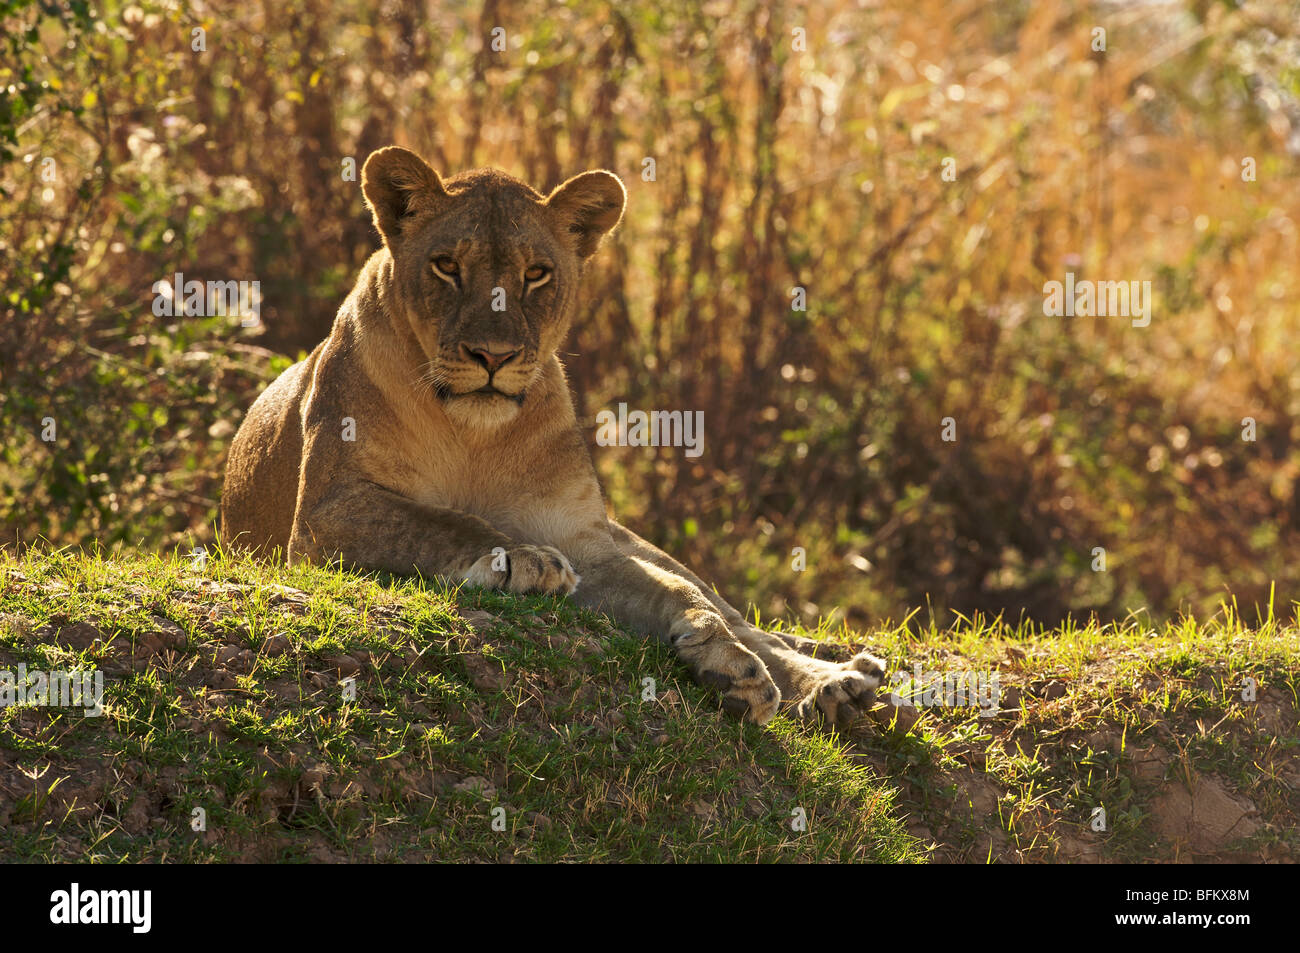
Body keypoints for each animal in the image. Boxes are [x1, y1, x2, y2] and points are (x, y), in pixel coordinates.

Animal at [220, 145, 886, 726]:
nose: (493, 355)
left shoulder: (588, 542)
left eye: (536, 275)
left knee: (739, 614)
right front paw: (521, 558)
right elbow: (439, 521)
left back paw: (836, 683)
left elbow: (678, 595)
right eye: (447, 266)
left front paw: (730, 666)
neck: (474, 436)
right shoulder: (326, 512)